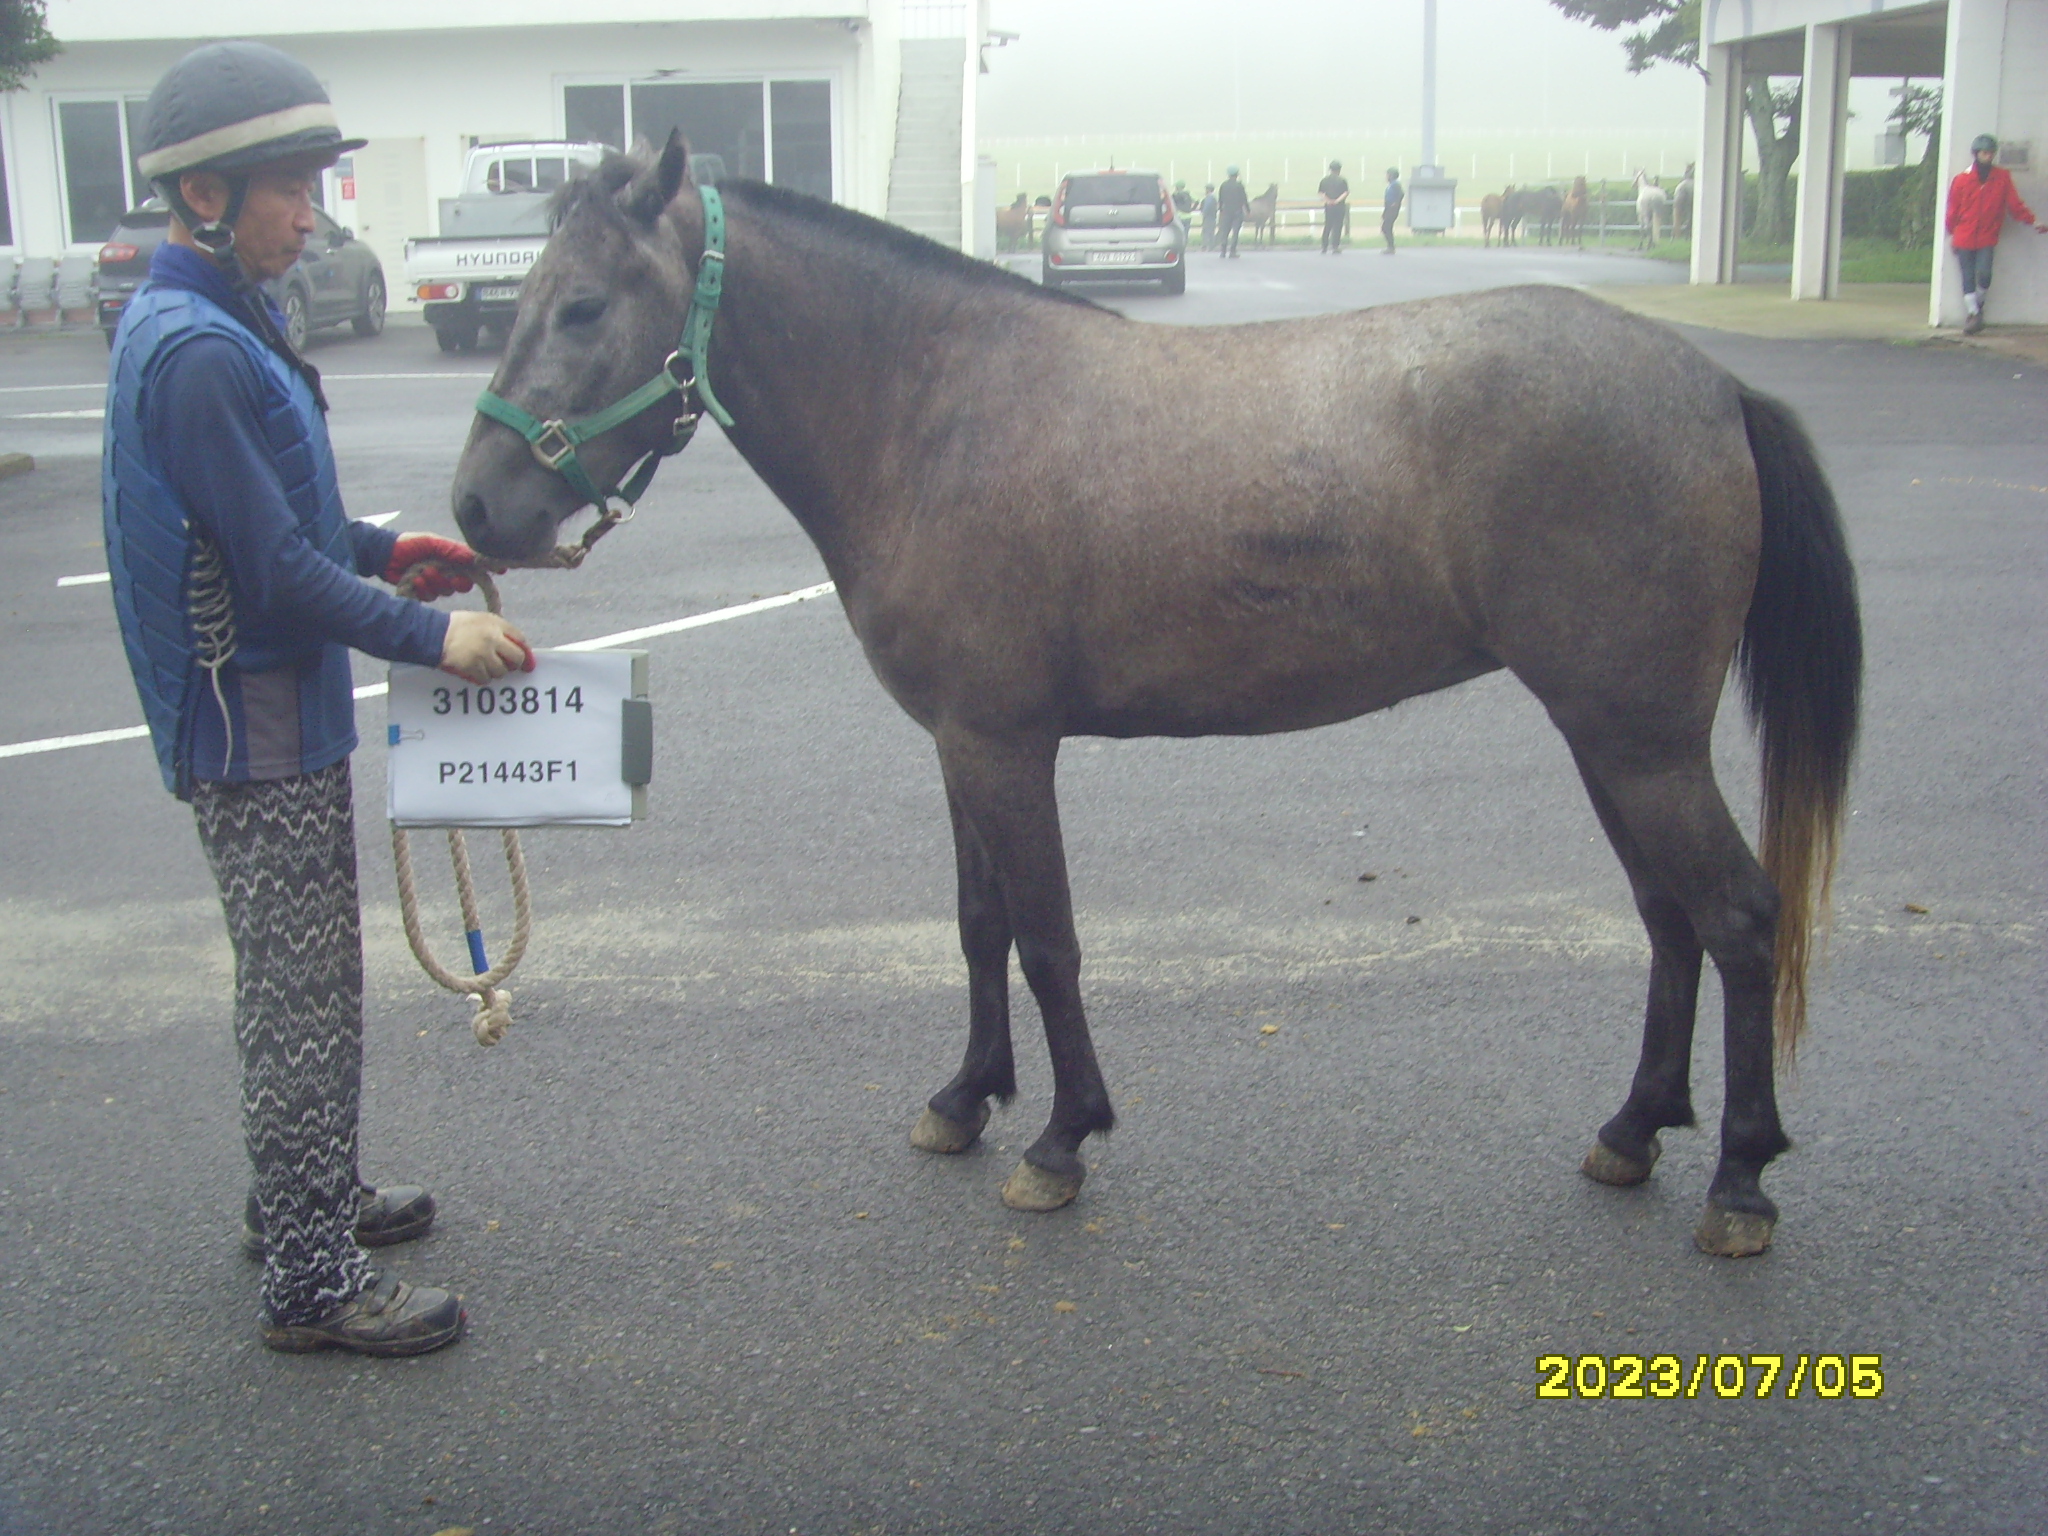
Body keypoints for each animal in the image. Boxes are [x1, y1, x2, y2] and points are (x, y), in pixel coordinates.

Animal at [456, 138, 1867, 1261]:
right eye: (523, 299)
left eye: (582, 305)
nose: (476, 509)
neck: (935, 412)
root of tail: (1710, 388)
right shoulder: (959, 747)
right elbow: (978, 927)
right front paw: (963, 1102)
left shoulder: (1006, 747)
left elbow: (1047, 939)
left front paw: (1060, 1141)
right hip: (1611, 739)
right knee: (1668, 920)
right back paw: (1632, 1131)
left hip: (1638, 743)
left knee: (1737, 918)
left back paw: (1739, 1183)